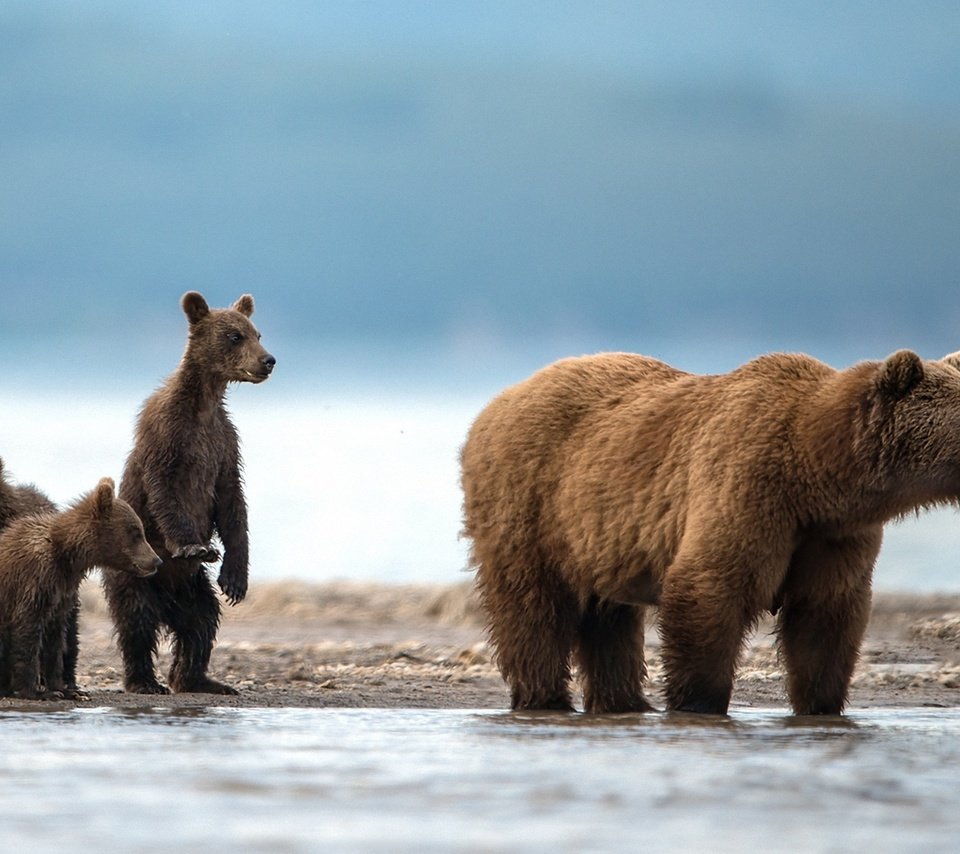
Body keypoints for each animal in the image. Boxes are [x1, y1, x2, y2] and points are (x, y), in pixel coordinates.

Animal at [106, 294, 278, 696]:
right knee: (137, 621)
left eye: (257, 333)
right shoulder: (168, 436)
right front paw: (194, 547)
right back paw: (144, 681)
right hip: (136, 573)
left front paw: (235, 578)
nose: (268, 360)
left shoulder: (223, 442)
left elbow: (233, 503)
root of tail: (168, 603)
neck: (202, 404)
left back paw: (203, 679)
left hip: (193, 588)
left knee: (201, 624)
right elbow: (166, 492)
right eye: (234, 336)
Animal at [460, 352, 960, 720]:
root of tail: (495, 402)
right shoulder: (749, 485)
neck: (816, 470)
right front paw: (698, 703)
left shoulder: (832, 535)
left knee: (608, 618)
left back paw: (625, 703)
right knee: (532, 607)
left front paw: (821, 706)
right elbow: (710, 588)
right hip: (530, 501)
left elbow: (825, 617)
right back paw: (544, 698)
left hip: (596, 532)